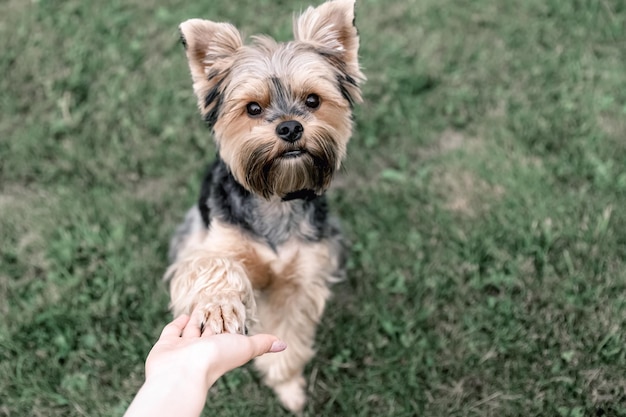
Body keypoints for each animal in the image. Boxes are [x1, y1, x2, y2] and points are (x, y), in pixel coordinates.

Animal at [163, 0, 364, 410]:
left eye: (313, 101)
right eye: (253, 109)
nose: (289, 127)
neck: (276, 197)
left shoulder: (300, 278)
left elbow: (289, 332)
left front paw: (287, 386)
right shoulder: (214, 244)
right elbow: (213, 266)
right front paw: (218, 306)